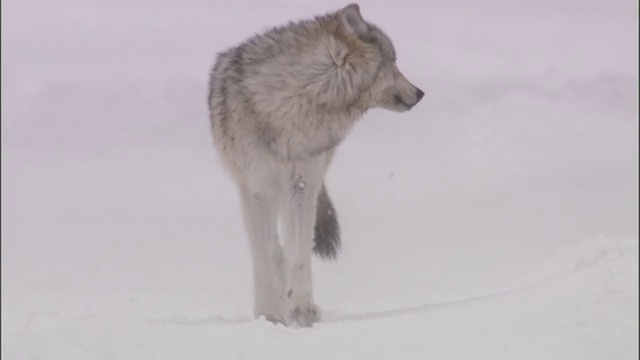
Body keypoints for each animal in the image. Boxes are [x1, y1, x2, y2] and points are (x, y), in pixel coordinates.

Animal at [208, 2, 422, 326]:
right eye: (395, 61)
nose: (420, 93)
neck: (292, 106)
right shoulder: (256, 188)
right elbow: (266, 256)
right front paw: (270, 315)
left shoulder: (302, 184)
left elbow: (299, 253)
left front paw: (302, 310)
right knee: (272, 250)